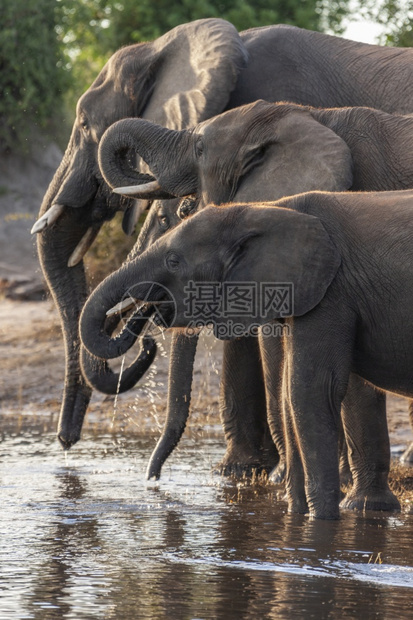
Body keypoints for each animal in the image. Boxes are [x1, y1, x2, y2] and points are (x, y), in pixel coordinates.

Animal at [78, 191, 413, 520]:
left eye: (173, 261)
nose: (153, 480)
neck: (266, 208)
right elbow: (291, 396)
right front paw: (296, 517)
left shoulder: (331, 293)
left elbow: (310, 390)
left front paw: (321, 523)